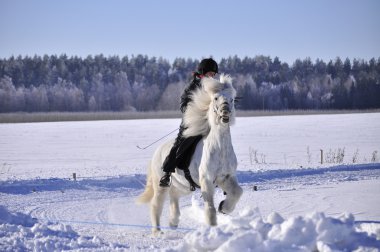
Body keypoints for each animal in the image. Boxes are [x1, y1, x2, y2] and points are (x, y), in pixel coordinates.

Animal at [138, 74, 242, 234]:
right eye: (215, 98)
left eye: (231, 99)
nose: (225, 112)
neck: (220, 149)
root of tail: (157, 151)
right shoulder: (207, 179)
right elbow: (210, 208)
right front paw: (213, 228)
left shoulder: (225, 177)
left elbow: (238, 192)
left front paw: (224, 207)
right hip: (161, 185)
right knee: (156, 205)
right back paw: (157, 232)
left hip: (182, 186)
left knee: (174, 198)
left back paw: (173, 222)